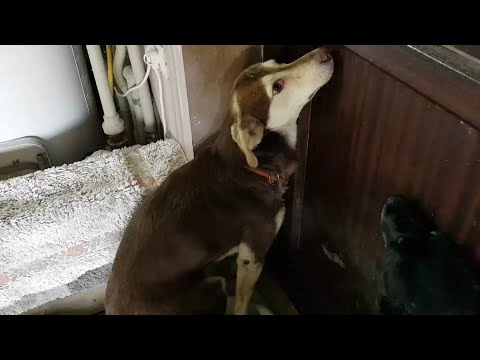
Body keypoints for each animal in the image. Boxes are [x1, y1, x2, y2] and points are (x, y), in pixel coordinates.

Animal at [105, 47, 334, 316]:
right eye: (277, 87)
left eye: (276, 62)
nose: (325, 53)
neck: (251, 166)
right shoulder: (253, 253)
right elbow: (242, 302)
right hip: (212, 288)